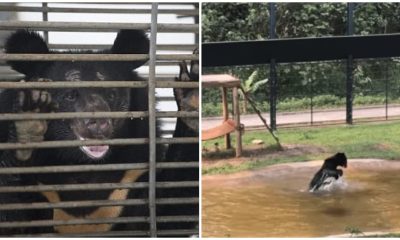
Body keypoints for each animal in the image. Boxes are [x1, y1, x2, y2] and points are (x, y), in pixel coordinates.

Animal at [0, 28, 198, 236]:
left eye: (111, 94)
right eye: (70, 95)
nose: (99, 124)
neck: (81, 165)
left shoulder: (131, 177)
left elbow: (168, 212)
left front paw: (192, 92)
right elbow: (13, 218)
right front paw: (28, 121)